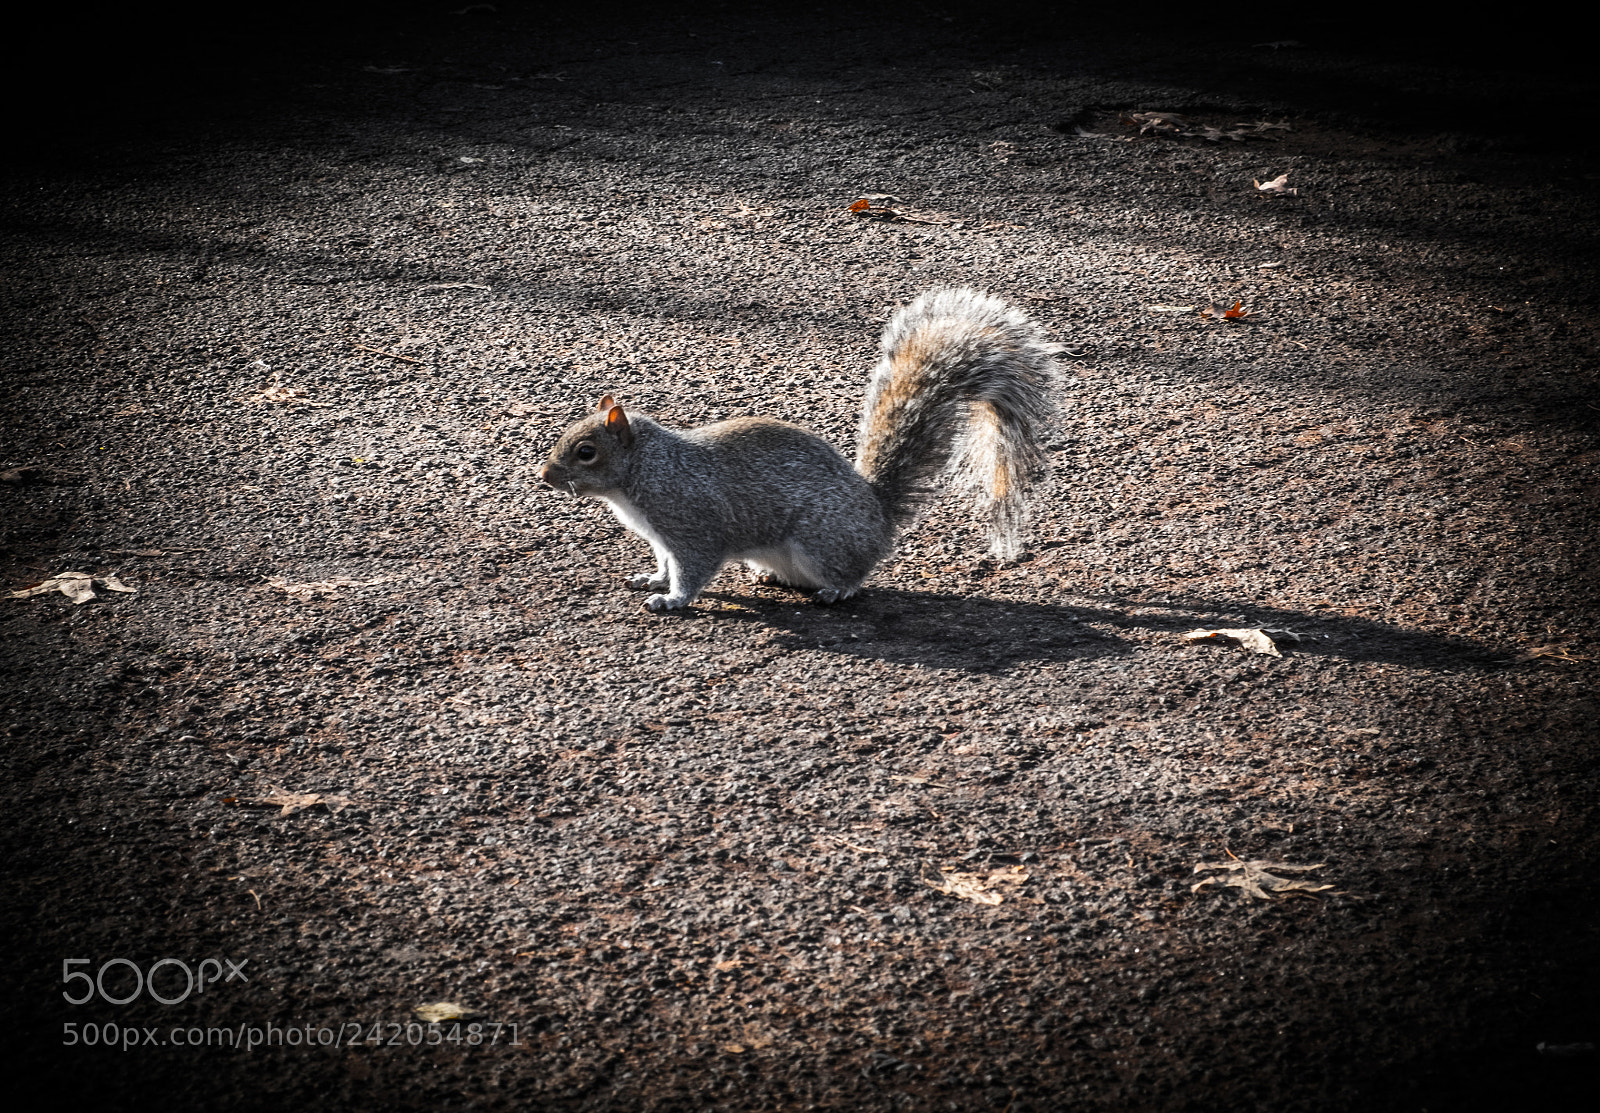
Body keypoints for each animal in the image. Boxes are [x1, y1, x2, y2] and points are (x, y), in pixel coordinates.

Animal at [538, 287, 1057, 611]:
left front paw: (673, 599)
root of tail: (878, 516)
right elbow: (666, 564)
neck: (645, 471)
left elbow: (693, 568)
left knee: (853, 572)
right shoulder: (661, 539)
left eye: (585, 451)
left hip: (821, 540)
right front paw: (655, 580)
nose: (545, 476)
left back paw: (836, 591)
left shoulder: (693, 524)